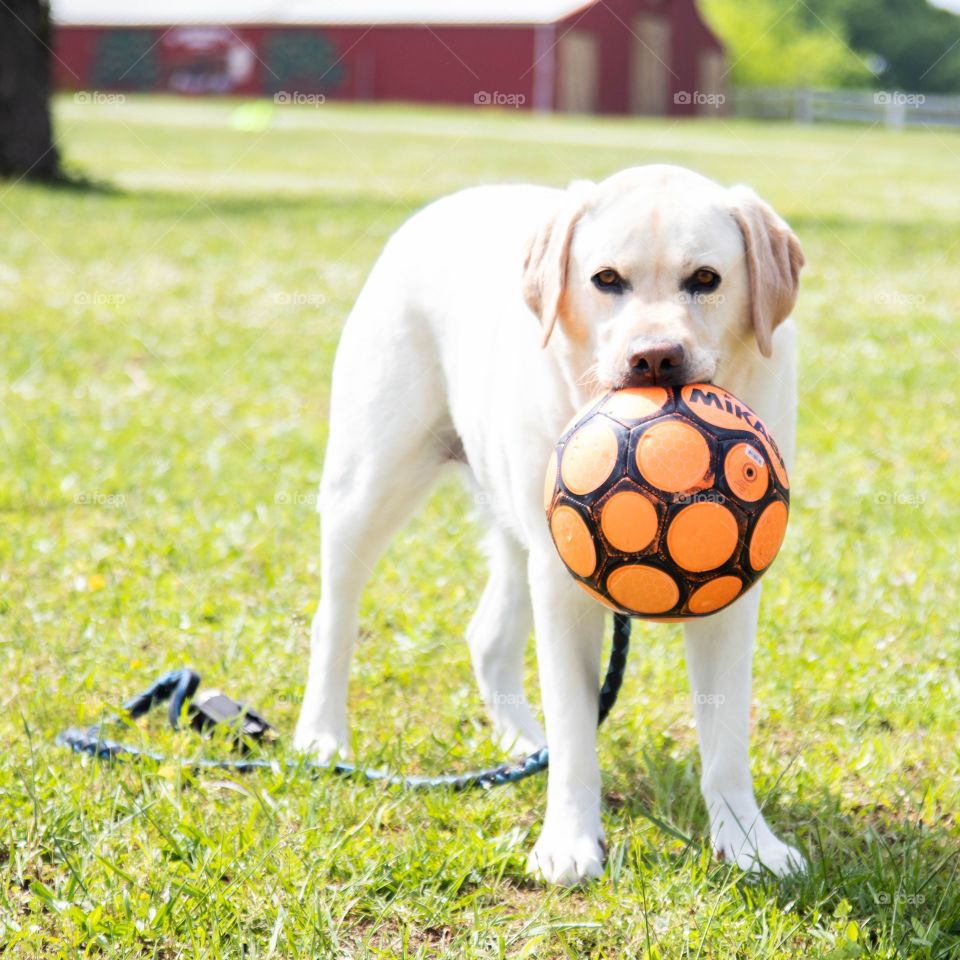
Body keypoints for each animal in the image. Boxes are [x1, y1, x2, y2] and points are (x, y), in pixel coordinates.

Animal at [296, 165, 808, 884]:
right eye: (606, 279)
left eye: (706, 278)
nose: (655, 358)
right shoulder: (565, 587)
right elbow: (574, 733)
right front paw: (569, 842)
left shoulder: (731, 592)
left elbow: (727, 737)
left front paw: (749, 843)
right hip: (368, 484)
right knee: (334, 616)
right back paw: (322, 736)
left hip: (519, 533)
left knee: (486, 637)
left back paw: (520, 745)